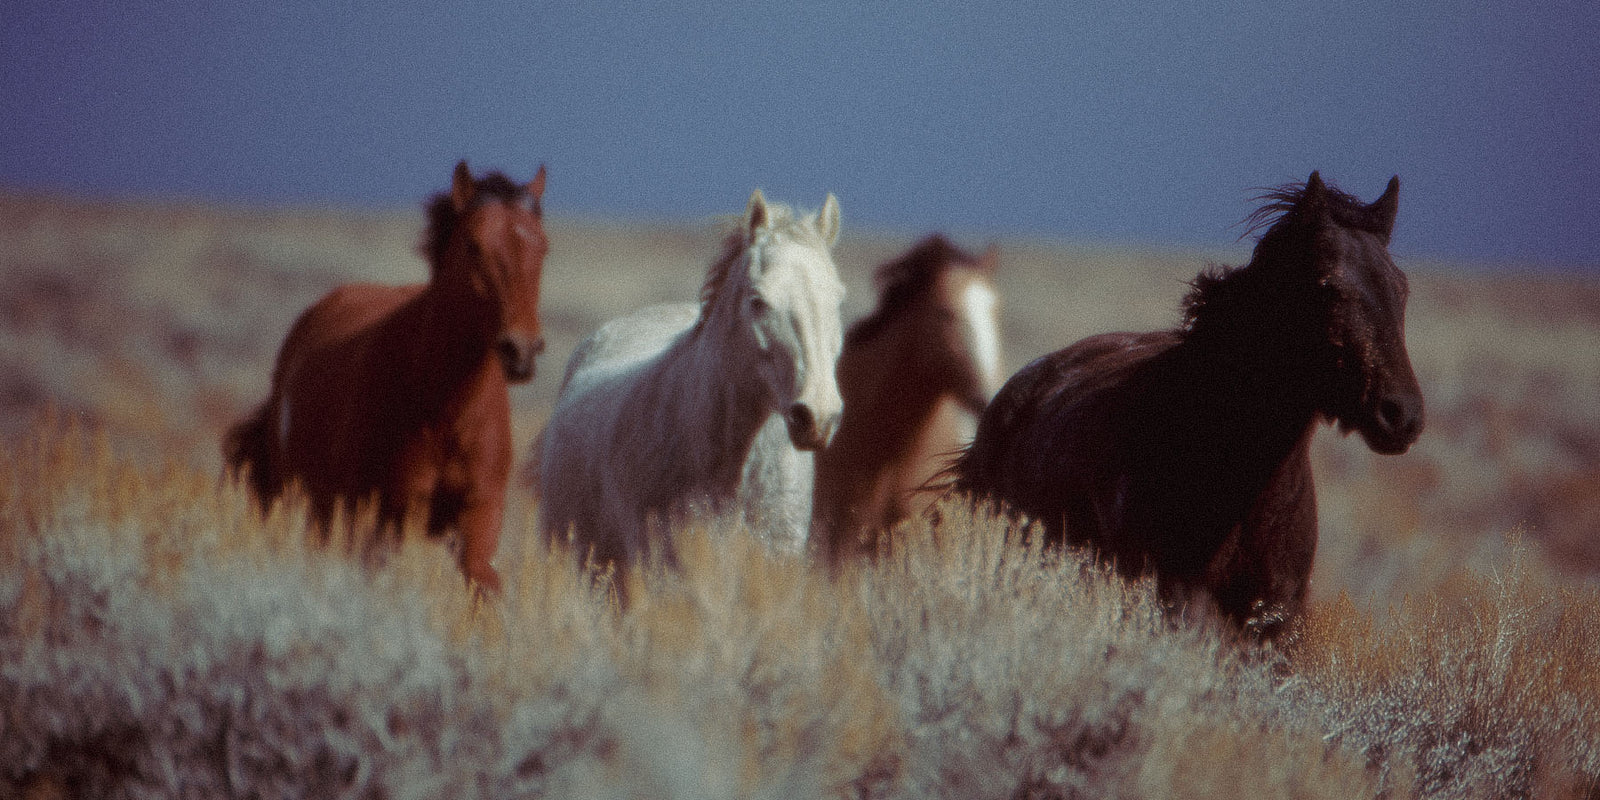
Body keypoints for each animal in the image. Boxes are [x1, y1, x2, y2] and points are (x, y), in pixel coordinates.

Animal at [224, 161, 549, 595]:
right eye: (473, 246)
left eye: (543, 247)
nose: (521, 350)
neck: (443, 411)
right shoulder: (385, 517)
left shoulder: (480, 517)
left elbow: (483, 583)